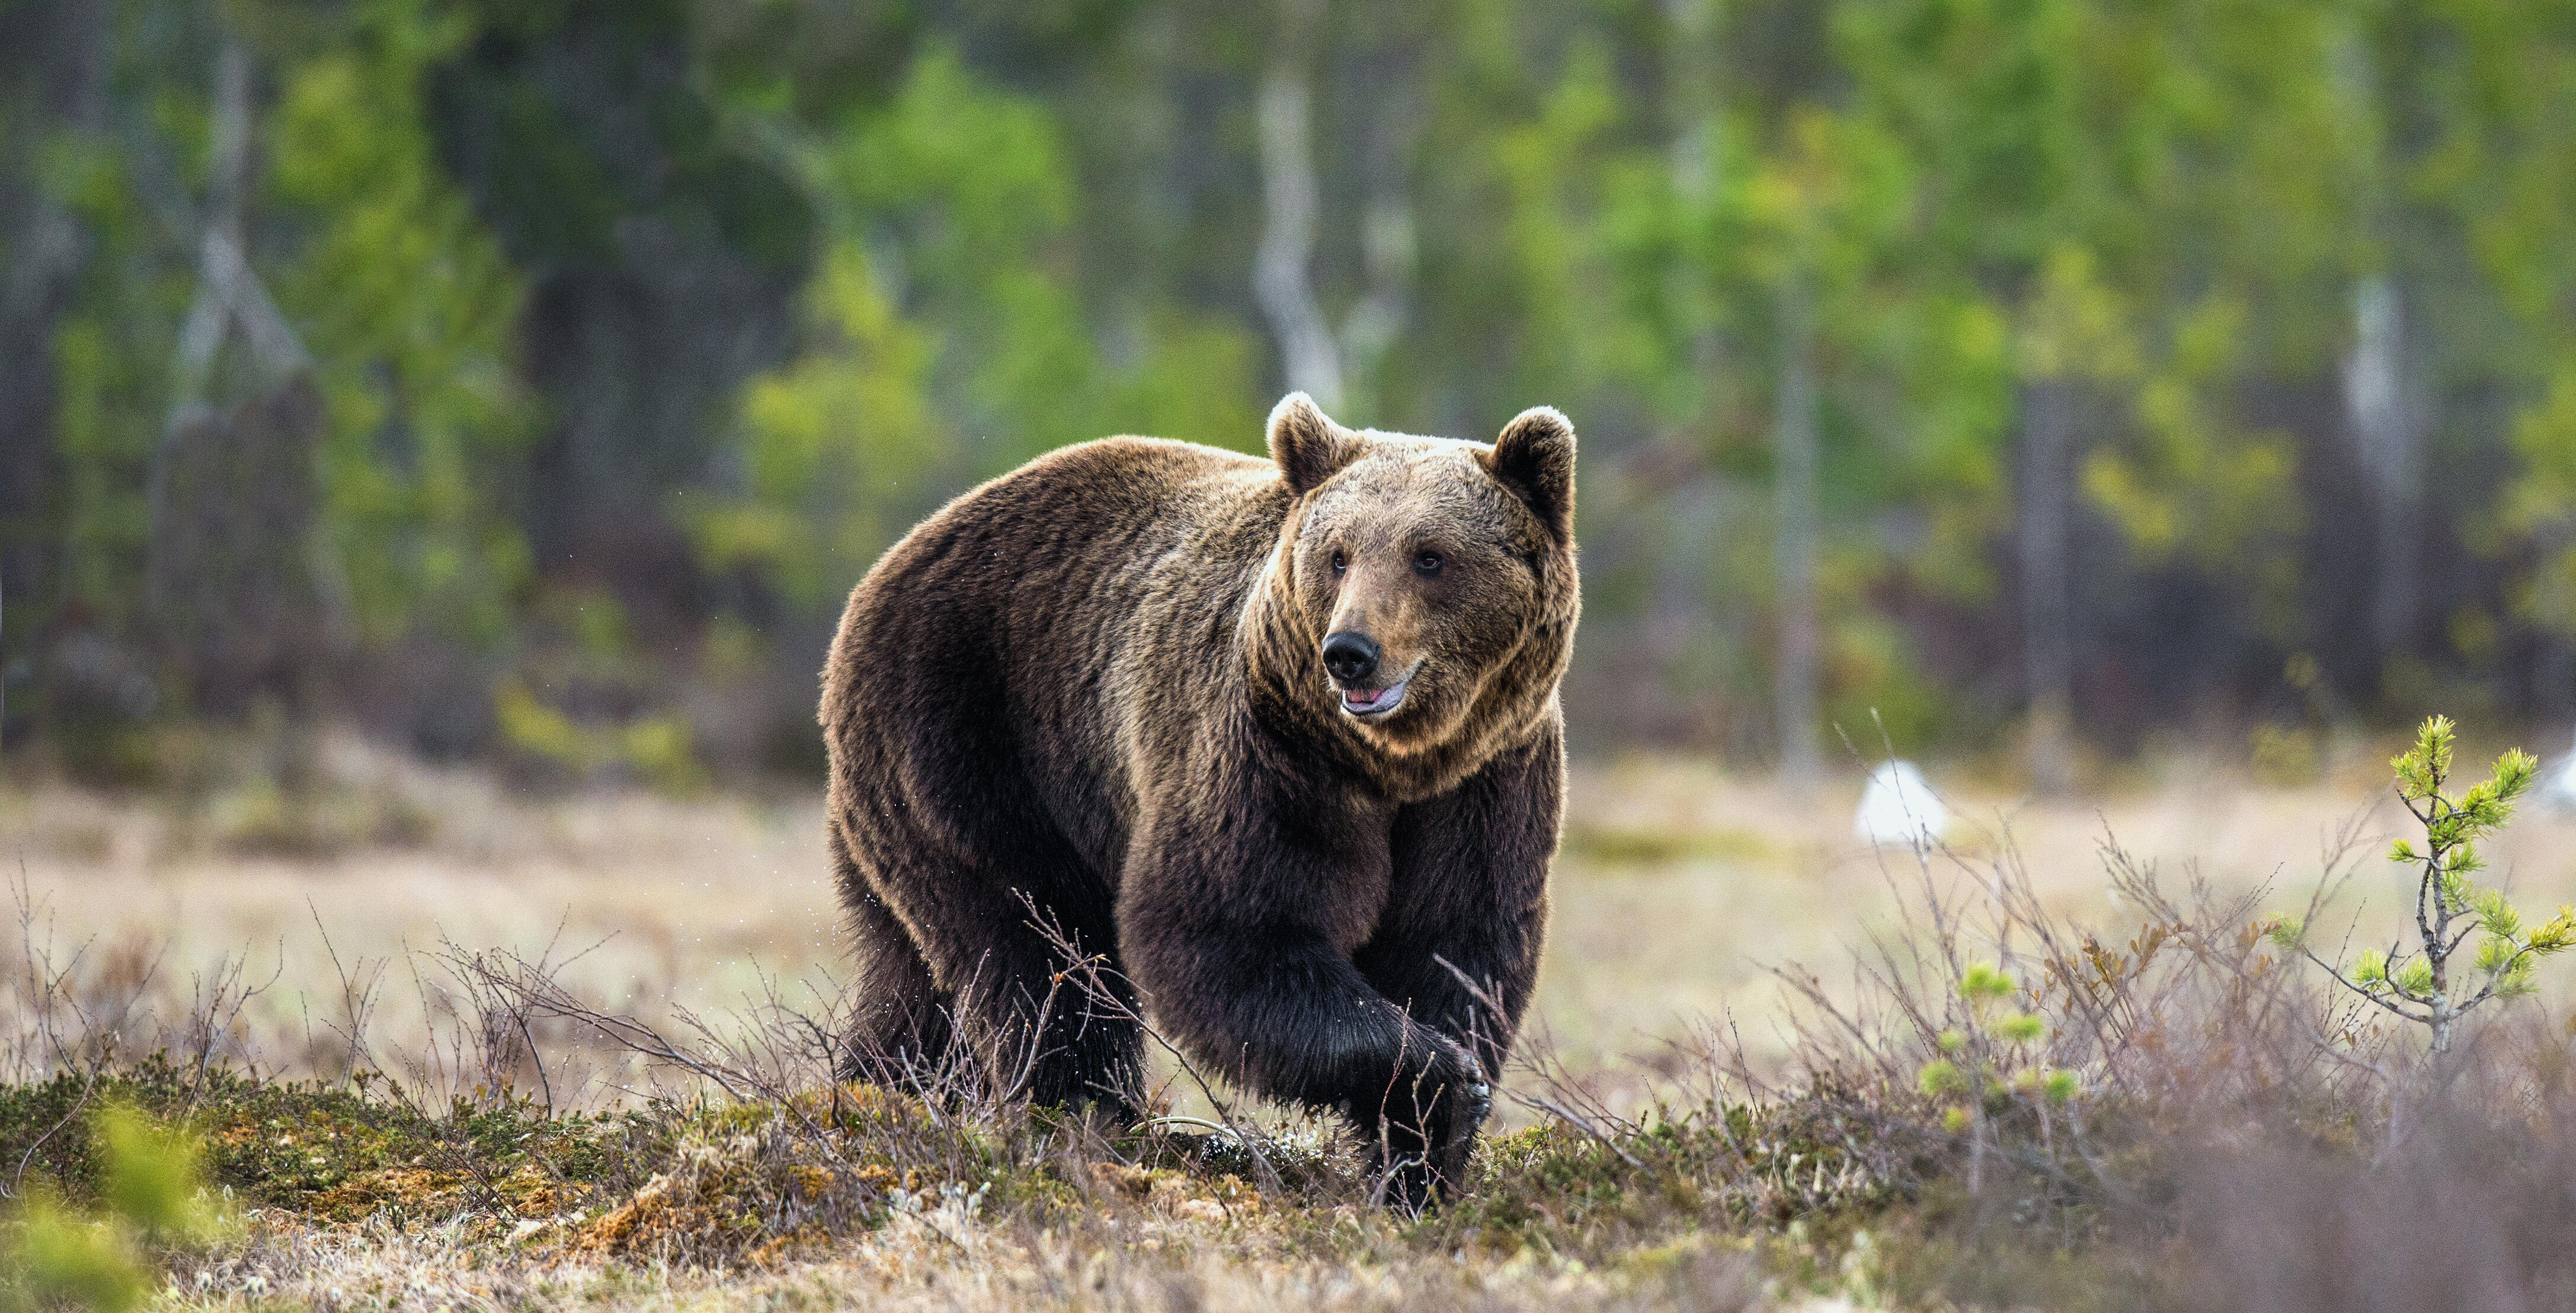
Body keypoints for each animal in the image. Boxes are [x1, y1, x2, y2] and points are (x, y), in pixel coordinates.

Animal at [819, 389, 1566, 1199]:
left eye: (1430, 555)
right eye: (1337, 554)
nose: (1349, 651)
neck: (1394, 764)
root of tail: (885, 566)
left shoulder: (1489, 778)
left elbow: (1455, 940)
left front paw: (1422, 1158)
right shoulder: (1270, 751)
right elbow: (1230, 928)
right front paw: (1440, 1079)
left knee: (914, 983)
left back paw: (868, 1097)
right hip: (969, 741)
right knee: (1039, 958)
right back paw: (1081, 1118)